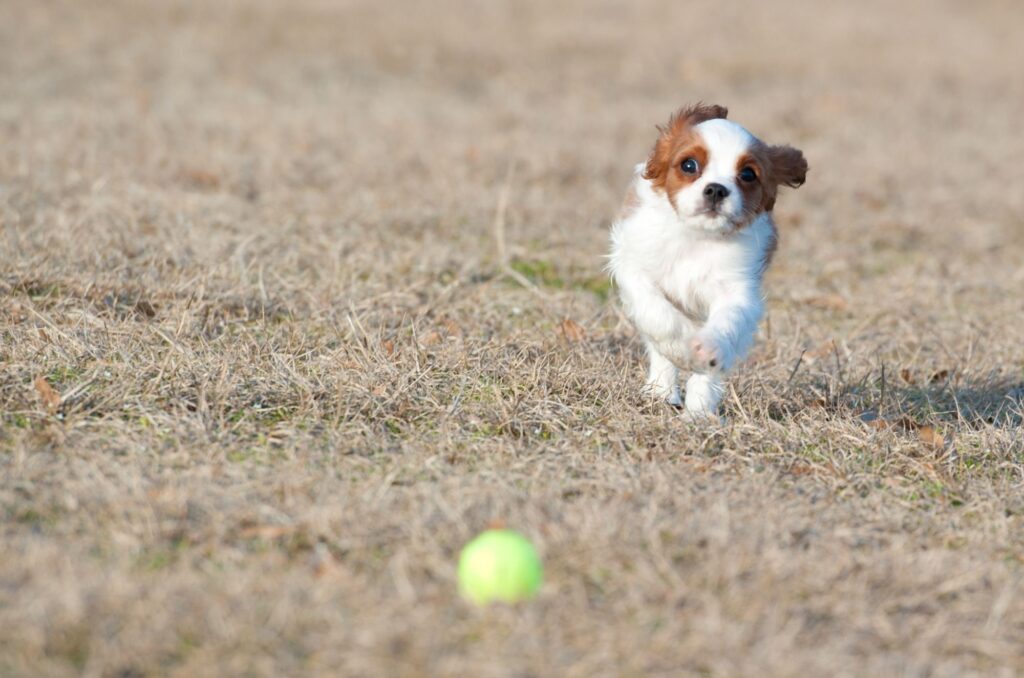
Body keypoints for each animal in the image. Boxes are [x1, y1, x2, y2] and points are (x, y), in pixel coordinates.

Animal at [606, 103, 806, 417]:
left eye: (748, 174)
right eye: (689, 165)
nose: (716, 189)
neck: (696, 237)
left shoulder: (737, 289)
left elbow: (727, 323)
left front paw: (707, 351)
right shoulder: (634, 266)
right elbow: (658, 315)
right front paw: (682, 345)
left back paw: (698, 413)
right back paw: (661, 392)